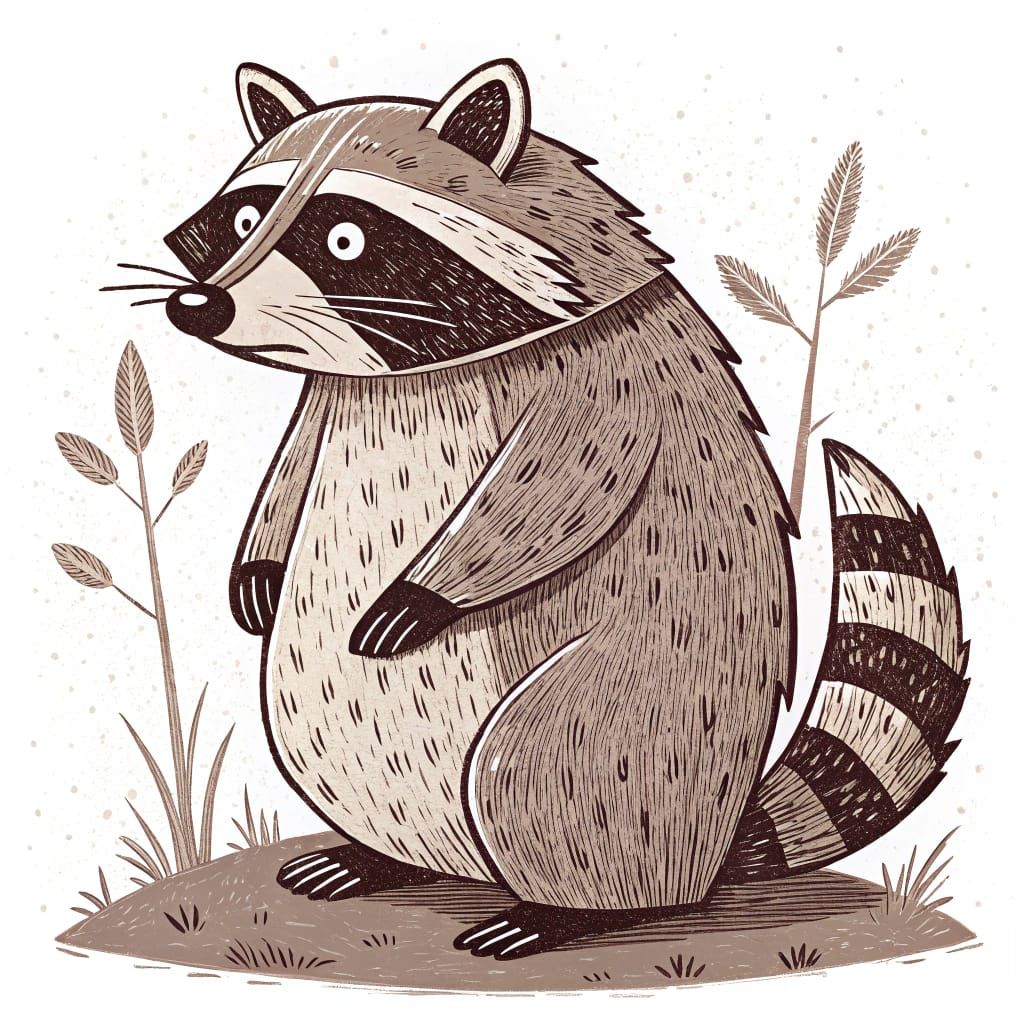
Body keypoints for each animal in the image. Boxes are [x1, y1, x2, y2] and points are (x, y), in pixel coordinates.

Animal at [151, 59, 968, 959]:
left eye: (344, 240)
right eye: (244, 217)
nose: (200, 306)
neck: (412, 365)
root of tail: (714, 848)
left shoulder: (605, 375)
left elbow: (558, 484)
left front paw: (427, 589)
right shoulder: (334, 393)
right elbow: (291, 469)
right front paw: (259, 562)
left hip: (628, 721)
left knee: (533, 764)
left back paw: (572, 910)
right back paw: (380, 858)